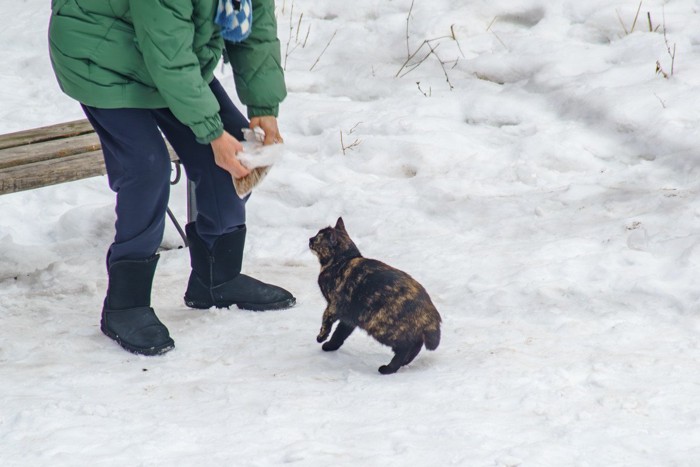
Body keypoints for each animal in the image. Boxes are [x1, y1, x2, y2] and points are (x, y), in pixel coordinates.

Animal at [308, 218, 440, 374]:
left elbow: (326, 322)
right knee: (416, 344)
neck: (343, 260)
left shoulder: (334, 305)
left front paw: (321, 338)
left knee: (405, 347)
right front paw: (330, 346)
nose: (310, 239)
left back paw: (389, 369)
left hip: (382, 328)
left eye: (317, 238)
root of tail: (431, 312)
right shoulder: (349, 317)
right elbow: (340, 333)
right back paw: (404, 363)